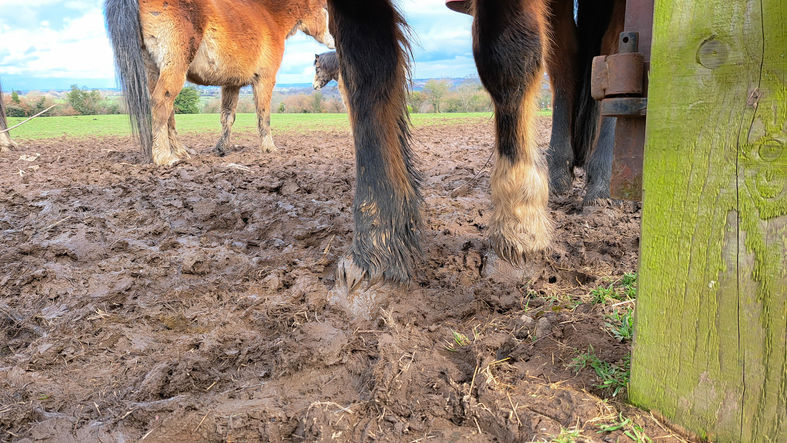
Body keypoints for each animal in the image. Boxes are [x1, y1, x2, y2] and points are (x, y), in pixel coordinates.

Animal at [105, 0, 336, 166]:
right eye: (326, 8)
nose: (336, 41)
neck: (268, 16)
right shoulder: (265, 79)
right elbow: (264, 115)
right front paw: (269, 148)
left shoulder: (231, 84)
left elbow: (228, 117)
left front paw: (222, 148)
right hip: (174, 67)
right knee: (161, 103)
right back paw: (165, 158)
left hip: (154, 70)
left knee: (167, 111)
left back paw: (181, 152)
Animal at [324, 0, 620, 292]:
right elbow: (365, 72)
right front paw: (375, 249)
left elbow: (506, 58)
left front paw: (518, 232)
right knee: (564, 59)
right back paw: (557, 174)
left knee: (611, 54)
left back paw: (602, 184)